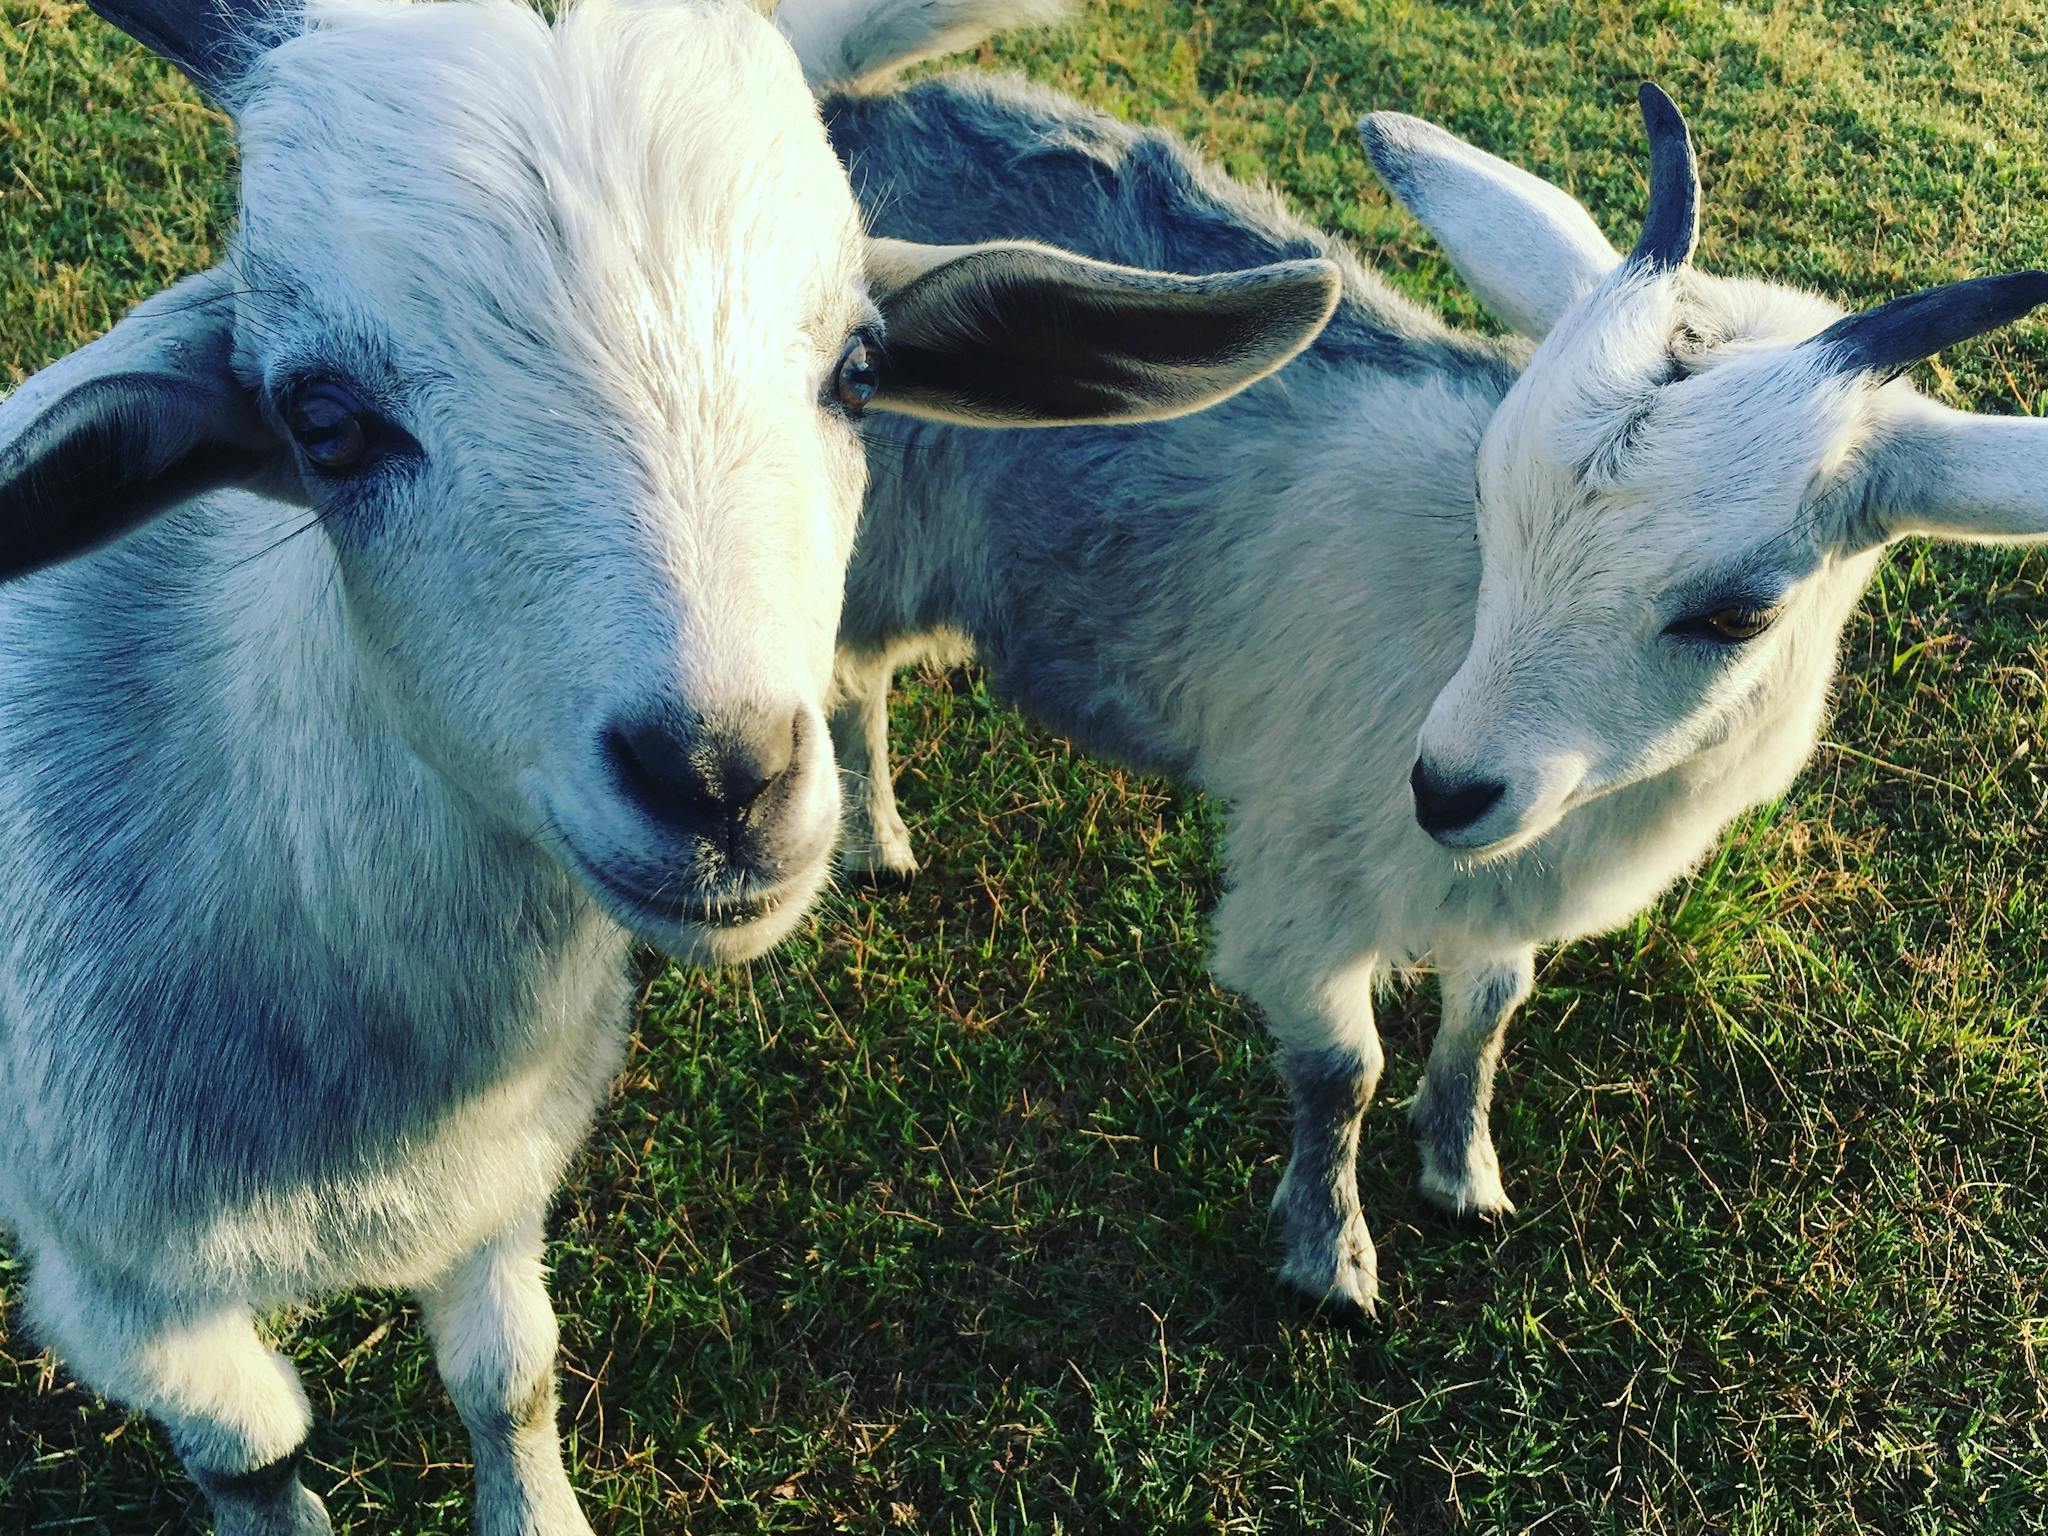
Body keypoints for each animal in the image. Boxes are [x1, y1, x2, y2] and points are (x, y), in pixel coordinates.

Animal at [0, 1, 1339, 1529]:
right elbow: (254, 1457)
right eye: (323, 423)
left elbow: (510, 1376)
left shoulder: (499, 1184)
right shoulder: (119, 1289)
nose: (721, 781)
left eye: (859, 372)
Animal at [784, 0, 2048, 1313]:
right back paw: (874, 842)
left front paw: (1462, 1170)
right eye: (1488, 495)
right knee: (848, 682)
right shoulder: (1305, 878)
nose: (1444, 790)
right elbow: (1341, 1069)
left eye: (1738, 614)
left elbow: (1486, 1014)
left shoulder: (1495, 892)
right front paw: (1329, 1254)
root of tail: (844, 108)